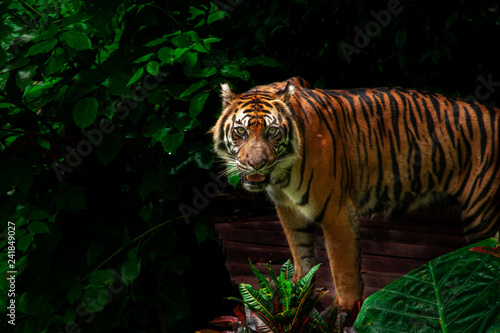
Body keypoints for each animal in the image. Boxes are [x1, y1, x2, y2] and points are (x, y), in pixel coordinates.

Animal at [211, 77, 500, 308]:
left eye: (272, 131)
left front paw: (345, 311)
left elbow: (343, 268)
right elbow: (301, 253)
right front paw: (297, 295)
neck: (282, 175)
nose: (256, 164)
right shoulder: (289, 210)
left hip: (483, 215)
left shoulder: (336, 211)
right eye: (240, 131)